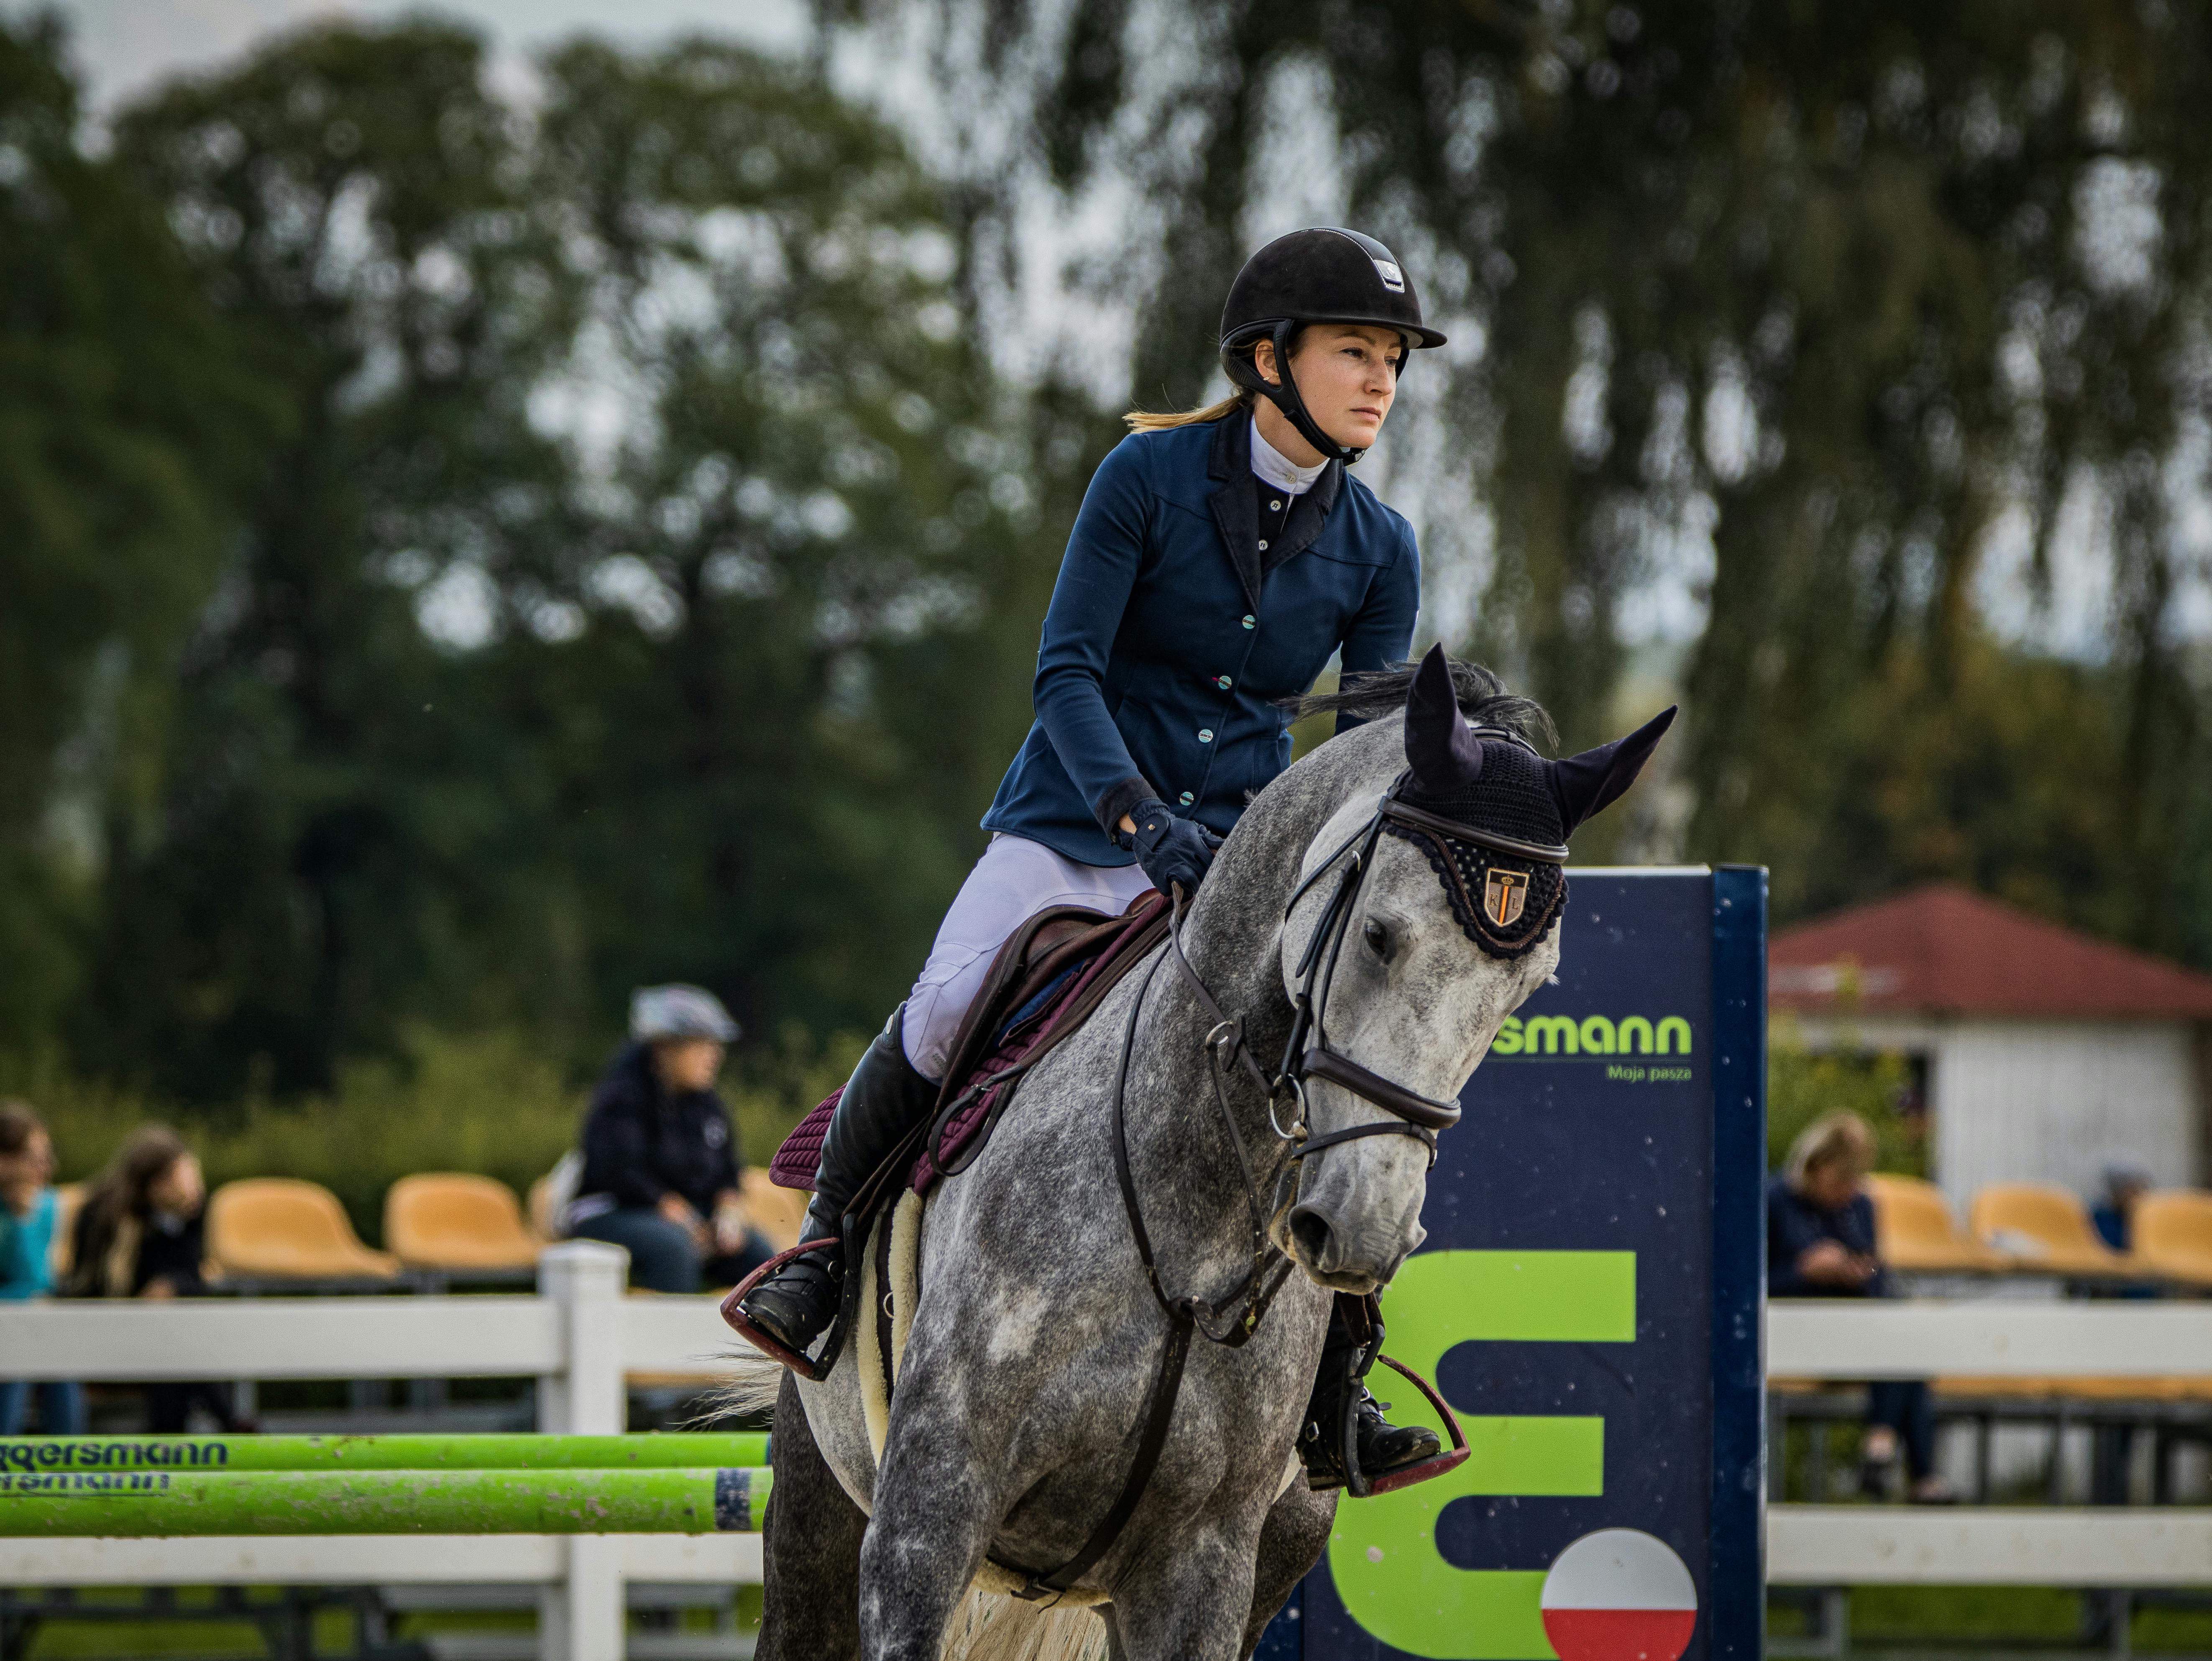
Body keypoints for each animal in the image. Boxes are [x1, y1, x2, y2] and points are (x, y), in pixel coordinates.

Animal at [734, 655, 1663, 1661]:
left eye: (1526, 987)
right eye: (1379, 932)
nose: (1363, 1227)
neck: (1194, 1216)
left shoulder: (1200, 1568)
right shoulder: (926, 1521)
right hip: (818, 1529)